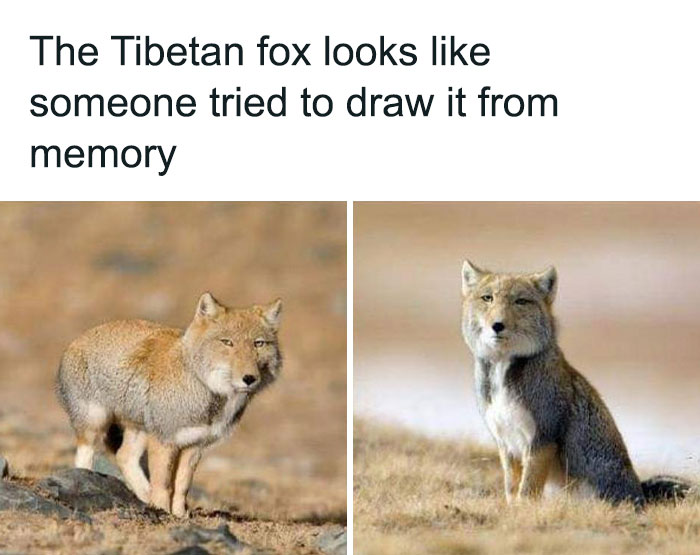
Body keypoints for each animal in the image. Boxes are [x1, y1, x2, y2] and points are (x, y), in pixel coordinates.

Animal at [56, 292, 282, 517]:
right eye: (227, 342)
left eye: (258, 343)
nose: (249, 379)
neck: (205, 390)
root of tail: (77, 340)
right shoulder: (164, 440)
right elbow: (163, 484)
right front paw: (162, 511)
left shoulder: (194, 444)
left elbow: (182, 485)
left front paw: (180, 515)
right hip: (94, 426)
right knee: (85, 458)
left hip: (139, 431)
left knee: (124, 457)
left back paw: (144, 495)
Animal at [460, 260, 689, 507]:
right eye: (488, 298)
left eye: (520, 301)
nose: (497, 325)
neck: (503, 371)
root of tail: (641, 494)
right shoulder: (506, 443)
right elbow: (512, 489)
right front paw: (513, 509)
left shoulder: (542, 438)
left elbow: (527, 489)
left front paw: (522, 509)